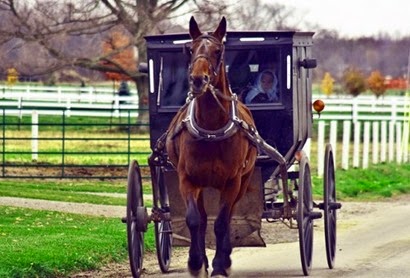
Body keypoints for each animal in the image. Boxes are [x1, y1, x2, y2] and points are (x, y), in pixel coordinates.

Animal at [166, 16, 256, 276]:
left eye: (218, 51)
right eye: (191, 49)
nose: (198, 79)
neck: (211, 130)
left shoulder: (232, 182)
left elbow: (222, 222)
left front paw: (219, 264)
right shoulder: (187, 179)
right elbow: (194, 220)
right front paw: (196, 263)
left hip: (243, 181)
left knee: (229, 215)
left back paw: (224, 258)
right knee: (203, 218)